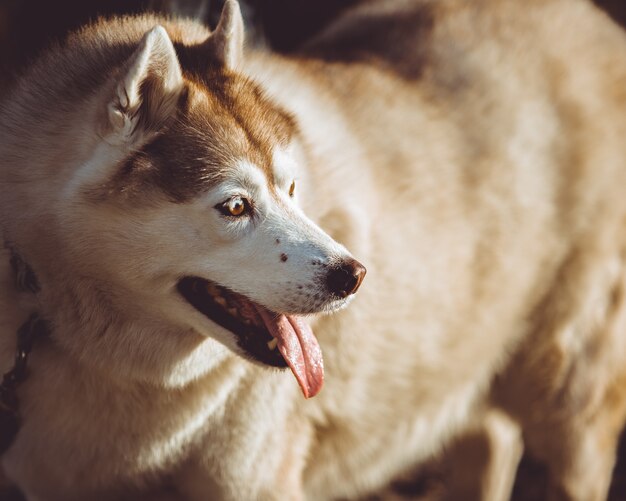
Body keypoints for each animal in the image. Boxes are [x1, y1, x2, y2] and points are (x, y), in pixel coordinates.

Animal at [1, 0, 624, 498]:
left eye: (292, 187)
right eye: (235, 206)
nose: (354, 276)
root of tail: (593, 23)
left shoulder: (253, 483)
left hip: (571, 401)